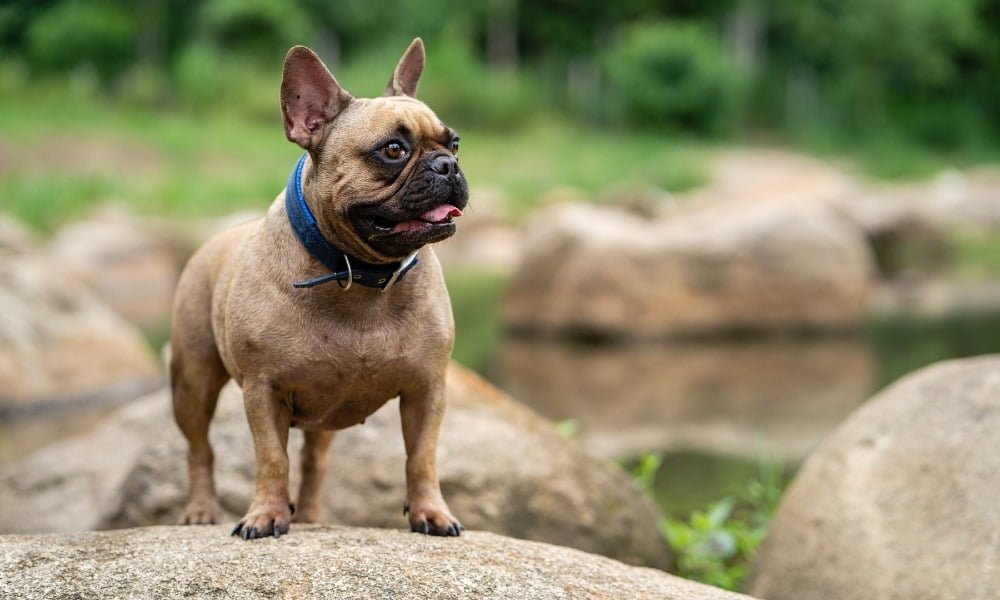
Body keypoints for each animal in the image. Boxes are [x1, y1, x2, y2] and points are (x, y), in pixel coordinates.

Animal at [171, 39, 468, 540]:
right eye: (393, 149)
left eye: (454, 143)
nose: (448, 165)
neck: (361, 274)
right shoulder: (263, 390)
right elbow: (272, 458)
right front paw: (265, 514)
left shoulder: (427, 389)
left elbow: (421, 459)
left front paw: (431, 511)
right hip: (192, 383)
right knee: (199, 449)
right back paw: (200, 510)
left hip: (323, 414)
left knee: (315, 461)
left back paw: (311, 515)